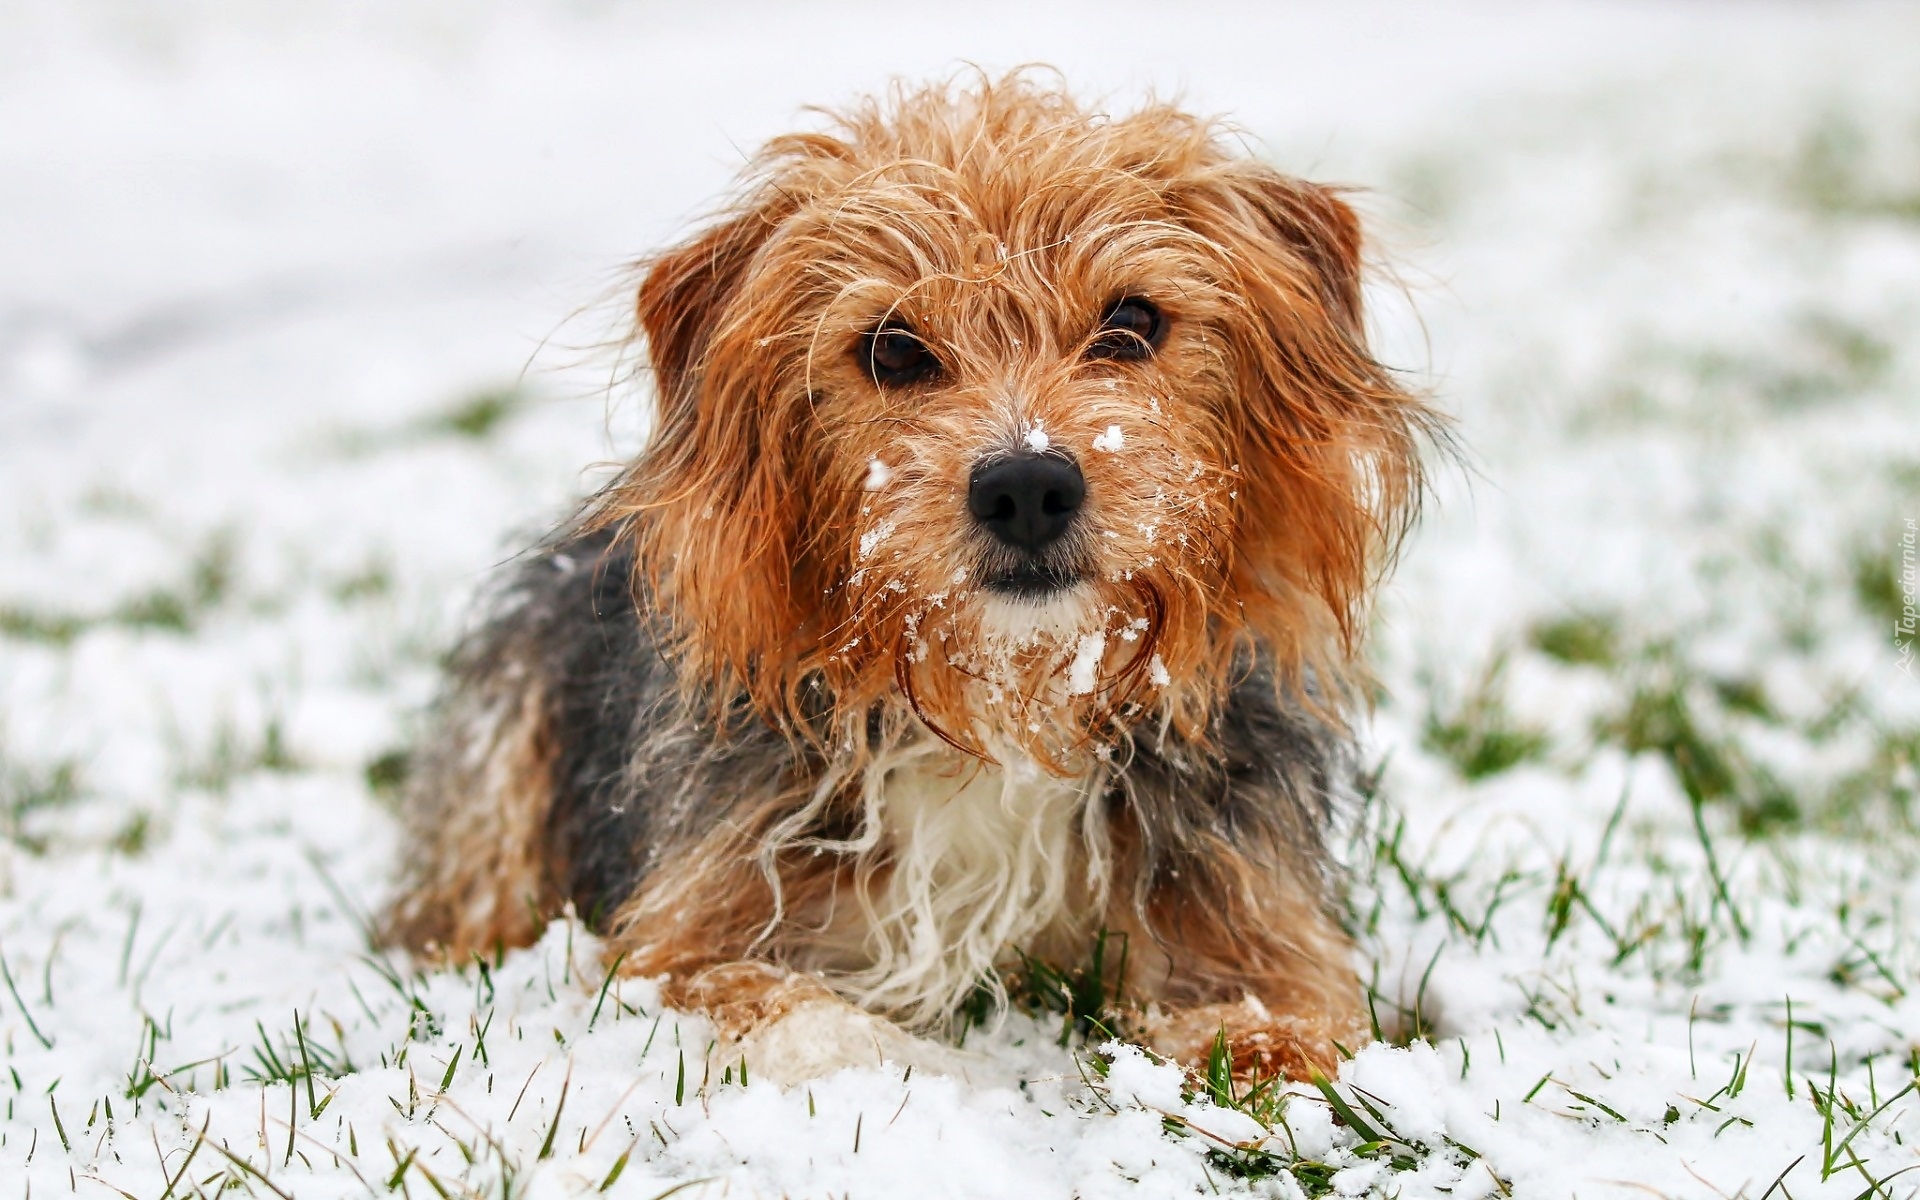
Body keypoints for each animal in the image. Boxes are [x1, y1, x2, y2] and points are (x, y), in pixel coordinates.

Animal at [382, 72, 1436, 1082]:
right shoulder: (674, 950)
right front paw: (920, 1069)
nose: (1027, 486)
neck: (1006, 706)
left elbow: (1277, 1033)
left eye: (1133, 321)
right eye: (892, 348)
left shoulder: (1267, 945)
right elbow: (800, 1014)